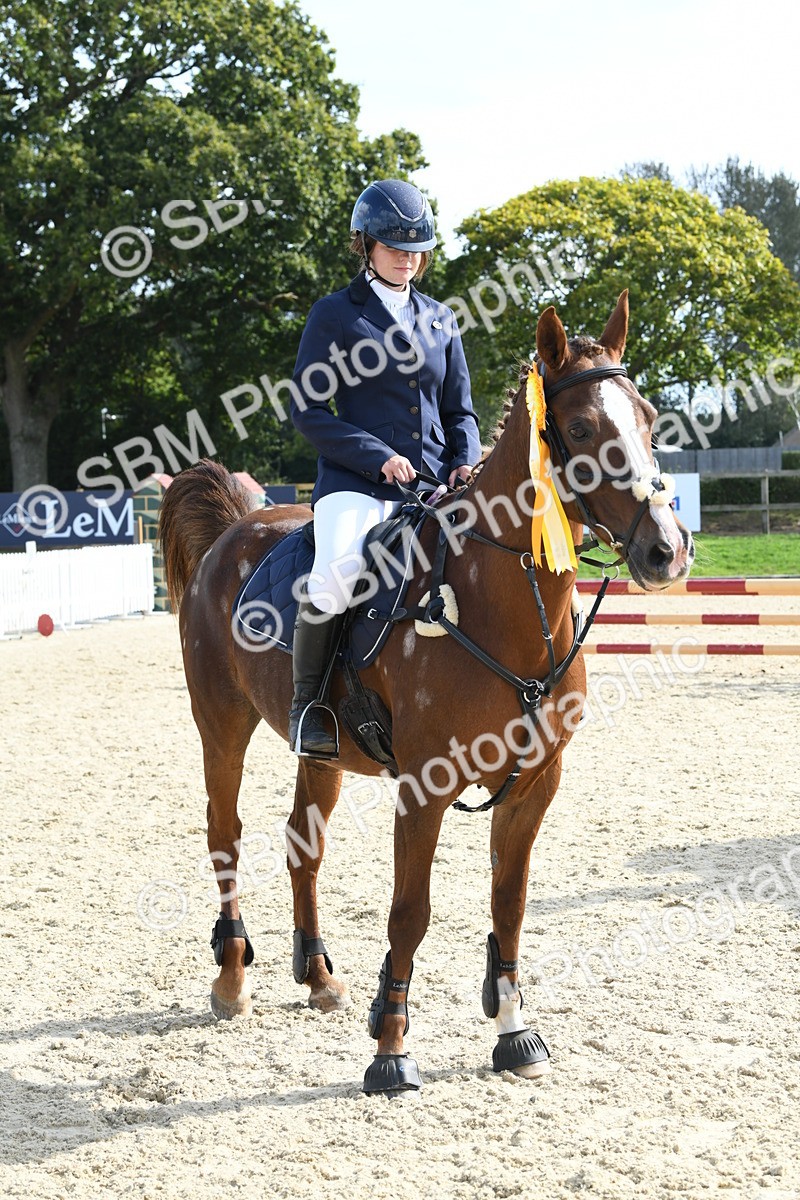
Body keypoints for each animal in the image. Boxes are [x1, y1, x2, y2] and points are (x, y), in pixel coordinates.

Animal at [158, 290, 694, 1093]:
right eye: (579, 429)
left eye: (650, 418)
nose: (667, 550)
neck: (494, 607)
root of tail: (238, 526)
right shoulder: (424, 787)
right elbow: (410, 913)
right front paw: (390, 1050)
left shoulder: (536, 782)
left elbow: (510, 904)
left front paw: (513, 1032)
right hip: (221, 724)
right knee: (226, 837)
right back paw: (231, 980)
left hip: (321, 750)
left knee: (302, 845)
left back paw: (319, 977)